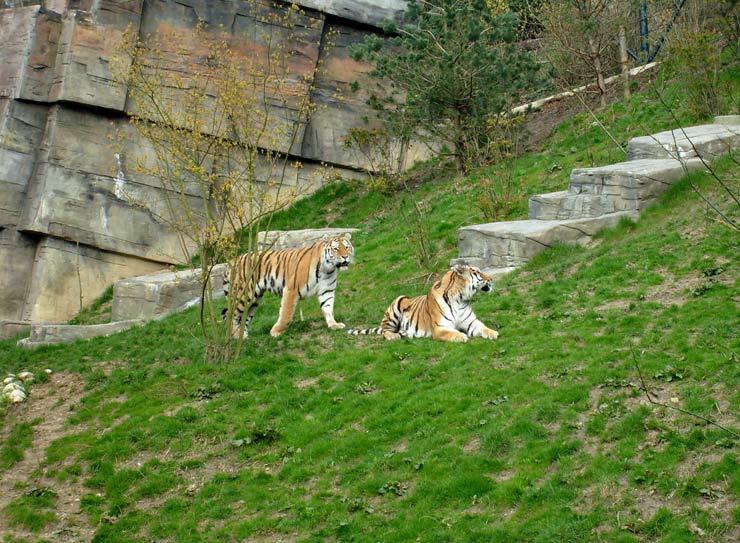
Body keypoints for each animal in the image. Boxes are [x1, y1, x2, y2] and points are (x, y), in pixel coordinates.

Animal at [221, 235, 354, 340]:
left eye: (347, 247)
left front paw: (334, 325)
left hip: (254, 299)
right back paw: (235, 336)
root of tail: (231, 262)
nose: (345, 257)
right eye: (335, 248)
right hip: (244, 294)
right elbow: (286, 314)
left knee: (243, 318)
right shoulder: (291, 290)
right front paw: (276, 332)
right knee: (230, 314)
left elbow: (328, 308)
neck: (327, 270)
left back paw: (243, 337)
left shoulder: (327, 290)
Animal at [348, 264, 500, 344]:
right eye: (478, 272)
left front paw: (493, 333)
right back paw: (394, 336)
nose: (491, 279)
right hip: (399, 299)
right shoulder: (440, 328)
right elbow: (453, 333)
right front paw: (462, 336)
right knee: (385, 331)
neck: (460, 298)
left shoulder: (471, 322)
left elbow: (483, 327)